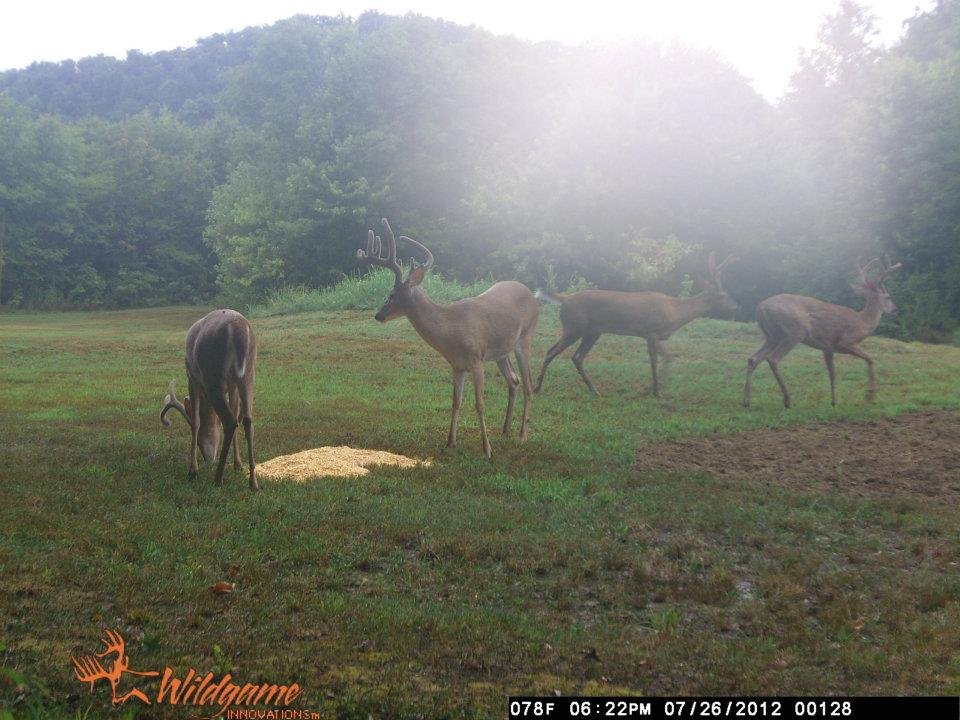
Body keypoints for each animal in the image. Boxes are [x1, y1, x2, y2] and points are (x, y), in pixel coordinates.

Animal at [160, 308, 258, 490]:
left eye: (199, 442)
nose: (208, 459)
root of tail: (239, 329)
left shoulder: (192, 378)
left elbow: (196, 422)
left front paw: (193, 471)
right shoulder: (232, 385)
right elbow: (236, 412)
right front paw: (238, 465)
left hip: (213, 375)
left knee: (230, 421)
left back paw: (217, 478)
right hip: (249, 373)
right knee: (246, 420)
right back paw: (253, 483)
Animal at [358, 218, 540, 458]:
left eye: (391, 294)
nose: (378, 315)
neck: (451, 330)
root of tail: (532, 294)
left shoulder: (476, 360)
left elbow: (479, 404)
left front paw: (487, 450)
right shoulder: (457, 365)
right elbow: (456, 402)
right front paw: (450, 442)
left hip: (525, 337)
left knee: (528, 384)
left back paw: (521, 436)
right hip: (501, 351)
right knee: (514, 380)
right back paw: (505, 431)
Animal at [535, 253, 738, 397]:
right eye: (723, 295)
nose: (736, 306)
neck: (676, 311)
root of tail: (564, 299)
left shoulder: (658, 336)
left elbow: (669, 357)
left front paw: (656, 387)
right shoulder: (652, 332)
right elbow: (654, 361)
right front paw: (656, 391)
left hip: (592, 332)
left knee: (577, 357)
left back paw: (594, 390)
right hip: (574, 327)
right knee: (552, 351)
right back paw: (537, 388)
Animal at [743, 257, 901, 409]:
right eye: (888, 296)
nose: (895, 308)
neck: (863, 322)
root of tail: (760, 308)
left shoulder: (827, 347)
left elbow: (832, 373)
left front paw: (834, 401)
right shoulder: (845, 342)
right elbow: (870, 358)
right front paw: (870, 397)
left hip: (772, 336)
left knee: (753, 359)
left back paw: (746, 402)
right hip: (794, 332)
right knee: (773, 359)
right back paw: (787, 400)